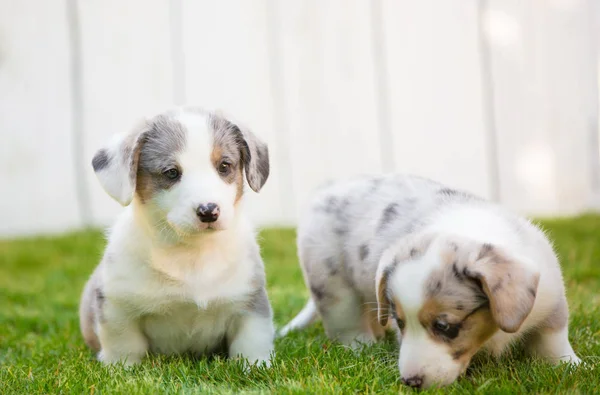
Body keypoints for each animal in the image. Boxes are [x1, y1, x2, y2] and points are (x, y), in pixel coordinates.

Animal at [79, 106, 274, 366]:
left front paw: (256, 367)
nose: (208, 211)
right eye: (171, 172)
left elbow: (252, 345)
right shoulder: (118, 308)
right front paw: (121, 369)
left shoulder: (249, 304)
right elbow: (124, 348)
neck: (191, 252)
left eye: (224, 166)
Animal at [282, 176, 580, 390]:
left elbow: (553, 342)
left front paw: (573, 367)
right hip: (333, 288)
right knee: (347, 326)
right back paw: (363, 348)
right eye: (400, 322)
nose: (410, 383)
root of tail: (324, 192)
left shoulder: (551, 300)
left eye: (444, 326)